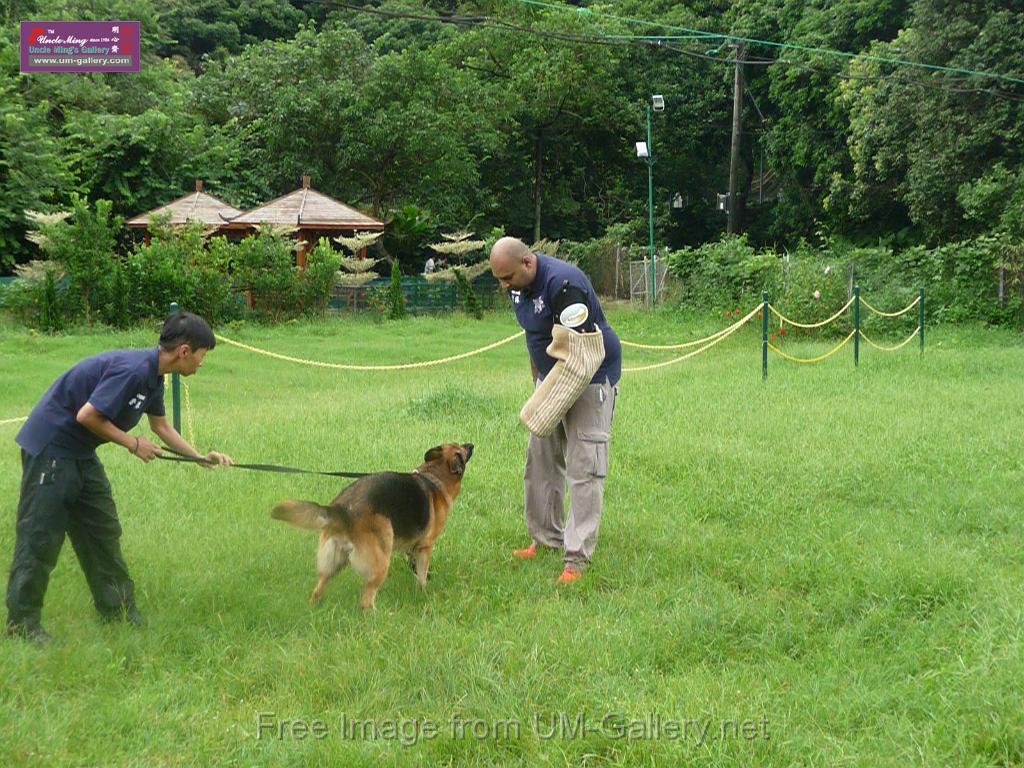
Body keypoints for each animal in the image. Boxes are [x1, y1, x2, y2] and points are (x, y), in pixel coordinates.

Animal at [270, 442, 473, 610]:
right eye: (462, 448)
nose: (471, 444)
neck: (434, 476)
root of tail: (341, 510)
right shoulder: (425, 546)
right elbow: (421, 576)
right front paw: (422, 593)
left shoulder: (413, 548)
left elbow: (415, 568)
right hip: (380, 561)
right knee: (366, 601)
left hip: (333, 562)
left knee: (318, 588)